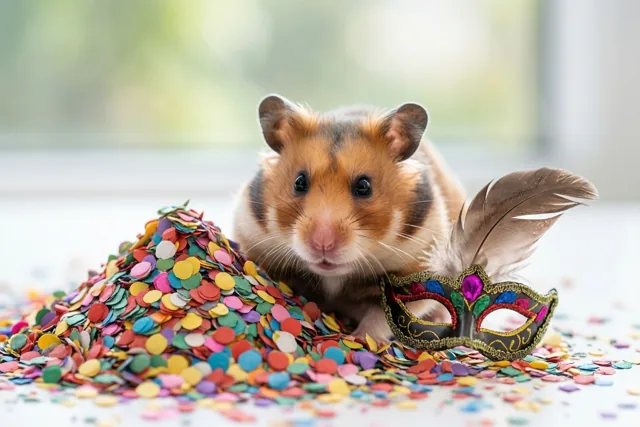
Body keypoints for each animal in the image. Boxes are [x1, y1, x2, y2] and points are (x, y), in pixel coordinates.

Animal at [232, 94, 466, 342]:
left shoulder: (418, 270)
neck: (334, 276)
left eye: (364, 186)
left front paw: (359, 338)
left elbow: (382, 317)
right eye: (299, 182)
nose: (322, 244)